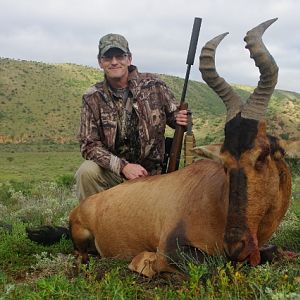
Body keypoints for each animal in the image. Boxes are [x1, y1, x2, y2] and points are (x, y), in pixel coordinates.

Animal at [68, 18, 290, 276]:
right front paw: (143, 262)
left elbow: (270, 252)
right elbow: (212, 264)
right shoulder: (171, 249)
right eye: (224, 162)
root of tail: (84, 206)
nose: (236, 245)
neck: (216, 196)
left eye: (262, 156)